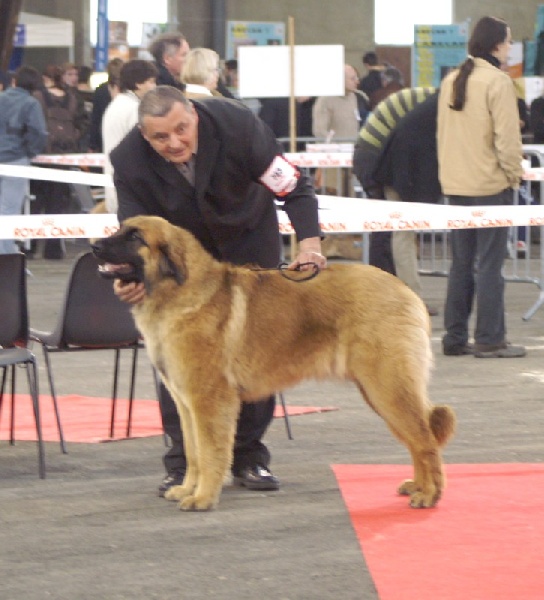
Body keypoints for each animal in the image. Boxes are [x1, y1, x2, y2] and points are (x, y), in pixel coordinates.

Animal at [93, 216, 454, 510]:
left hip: (386, 386)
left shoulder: (208, 400)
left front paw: (203, 497)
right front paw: (186, 488)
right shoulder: (185, 403)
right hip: (379, 391)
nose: (94, 245)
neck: (179, 291)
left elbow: (209, 453)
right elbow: (193, 453)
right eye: (119, 229)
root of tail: (404, 290)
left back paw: (429, 495)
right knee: (417, 438)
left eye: (134, 237)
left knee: (424, 439)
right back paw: (418, 486)